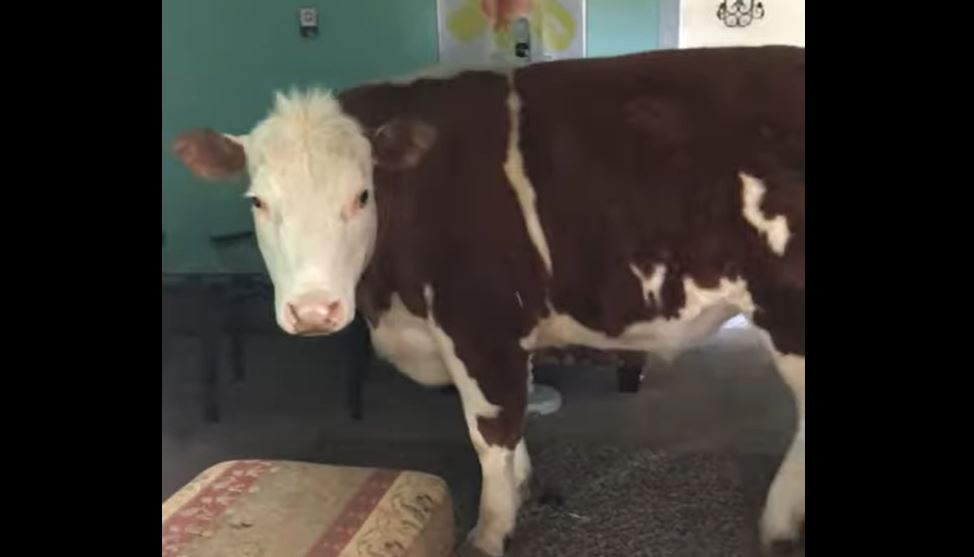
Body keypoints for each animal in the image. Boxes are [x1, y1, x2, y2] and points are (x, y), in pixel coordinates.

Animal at [172, 45, 805, 555]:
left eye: (361, 195)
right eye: (257, 201)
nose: (312, 311)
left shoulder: (479, 325)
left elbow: (490, 430)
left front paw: (490, 529)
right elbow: (513, 425)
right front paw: (520, 489)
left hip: (788, 313)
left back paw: (778, 523)